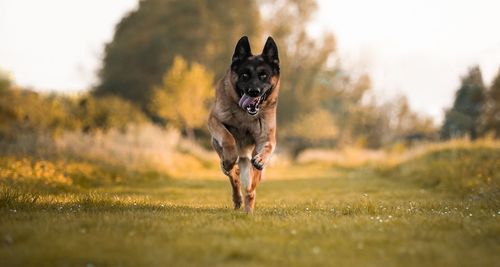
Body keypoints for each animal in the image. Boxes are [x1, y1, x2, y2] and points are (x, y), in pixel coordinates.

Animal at [206, 36, 280, 214]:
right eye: (245, 75)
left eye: (264, 76)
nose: (254, 91)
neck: (245, 115)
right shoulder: (214, 120)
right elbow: (228, 137)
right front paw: (230, 157)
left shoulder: (267, 138)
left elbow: (268, 147)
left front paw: (261, 159)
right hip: (221, 153)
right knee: (233, 176)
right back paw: (237, 197)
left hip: (249, 163)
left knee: (250, 188)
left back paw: (248, 209)